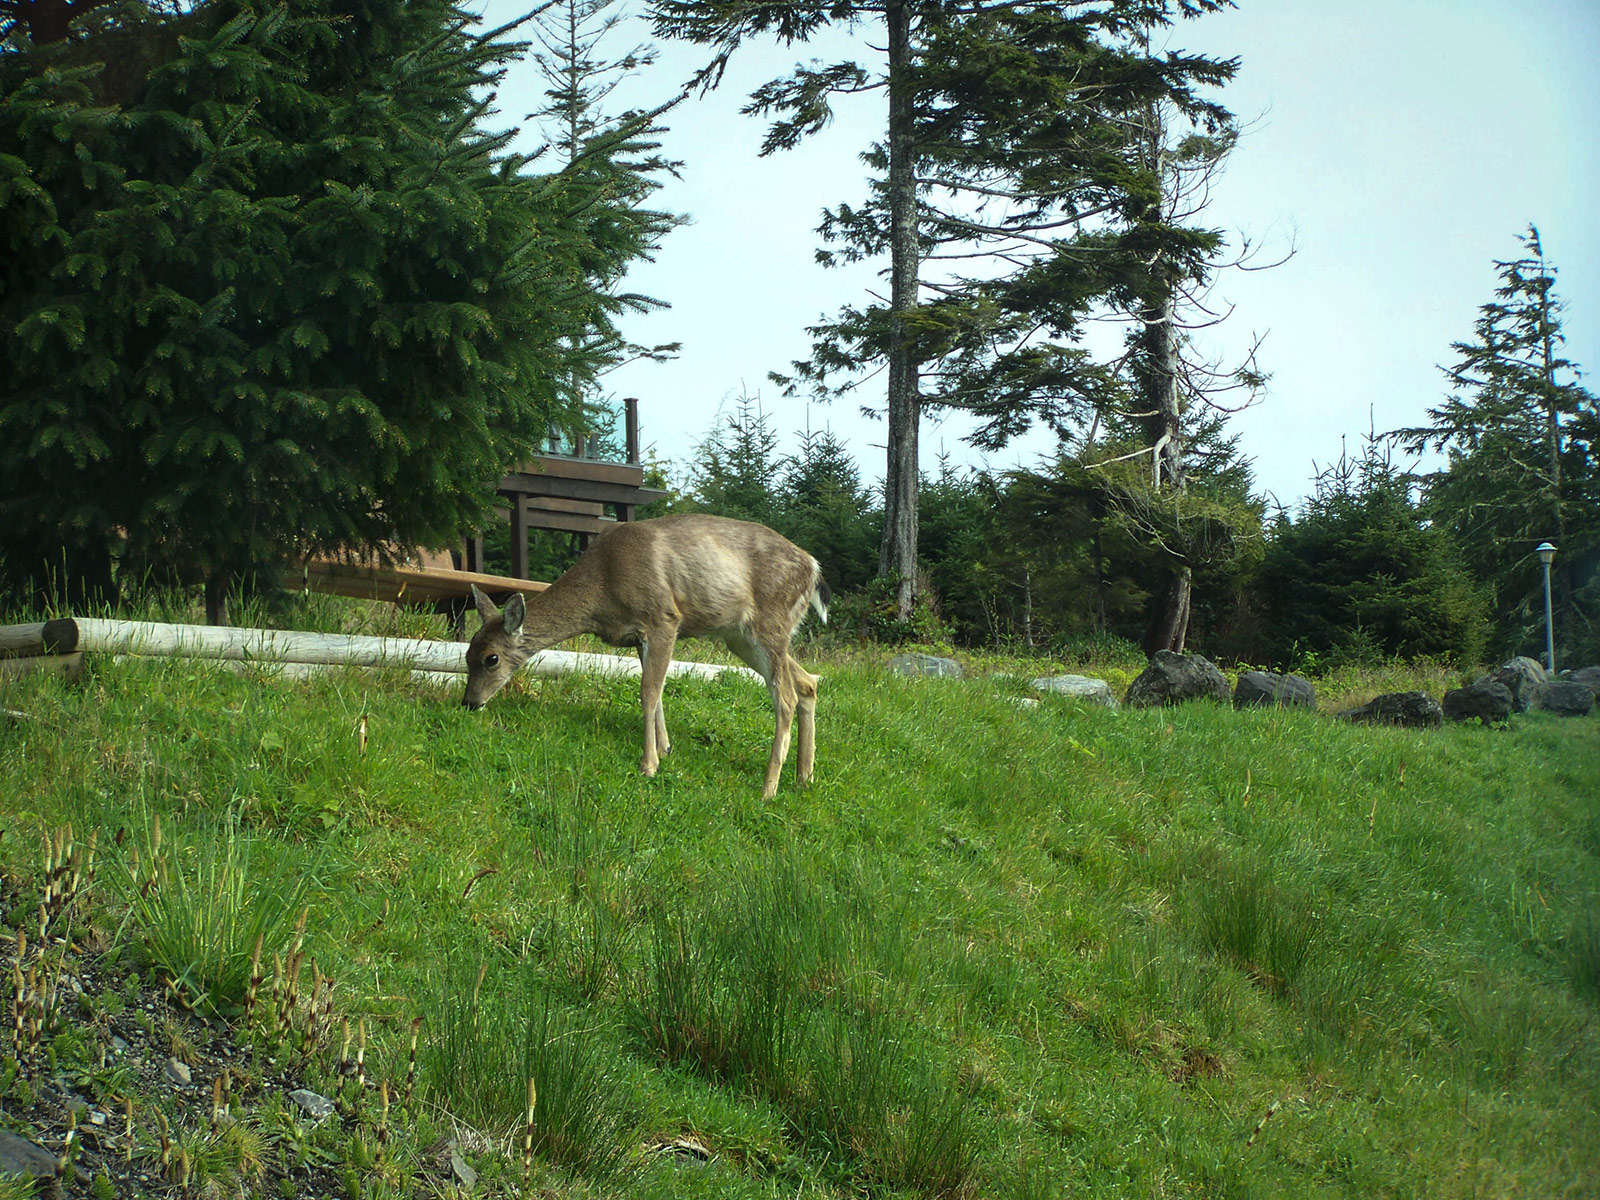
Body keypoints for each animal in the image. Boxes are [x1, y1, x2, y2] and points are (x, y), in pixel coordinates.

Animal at [462, 513, 830, 799]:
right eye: (466, 654)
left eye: (491, 658)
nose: (469, 703)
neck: (603, 588)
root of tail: (814, 569)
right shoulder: (639, 636)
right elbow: (658, 693)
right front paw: (665, 749)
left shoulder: (663, 618)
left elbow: (648, 691)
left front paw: (648, 764)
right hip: (739, 637)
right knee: (807, 683)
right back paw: (805, 777)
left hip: (769, 623)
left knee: (785, 697)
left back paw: (768, 788)